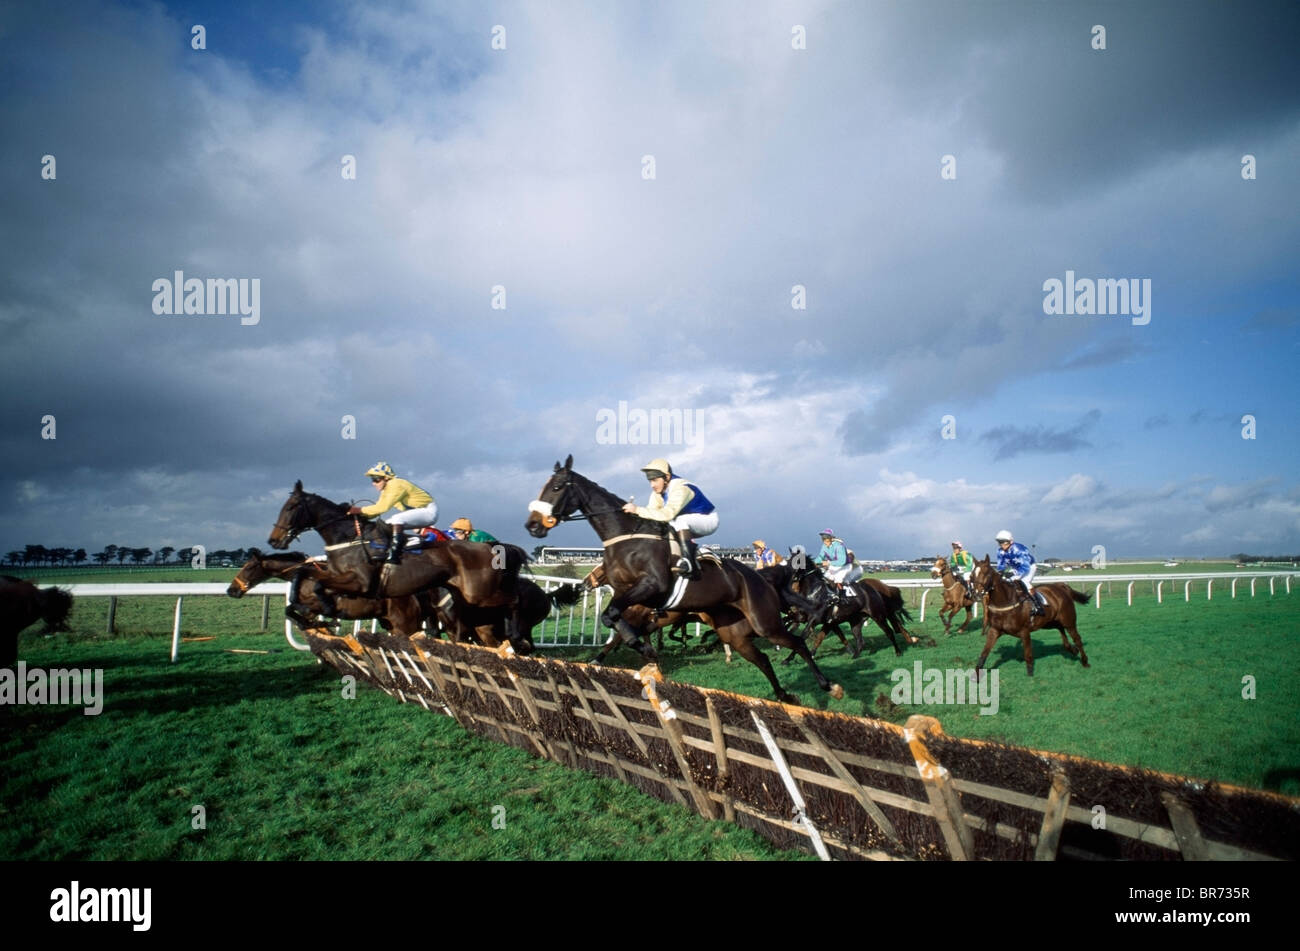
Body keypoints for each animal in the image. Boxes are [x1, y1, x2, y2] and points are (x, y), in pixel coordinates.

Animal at [522, 452, 837, 706]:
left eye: (556, 487)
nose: (532, 525)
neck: (628, 538)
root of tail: (759, 578)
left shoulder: (652, 587)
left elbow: (615, 617)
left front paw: (644, 647)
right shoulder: (627, 595)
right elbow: (611, 618)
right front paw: (639, 648)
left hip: (764, 621)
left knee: (797, 643)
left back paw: (829, 685)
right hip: (734, 631)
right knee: (761, 658)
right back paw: (785, 695)